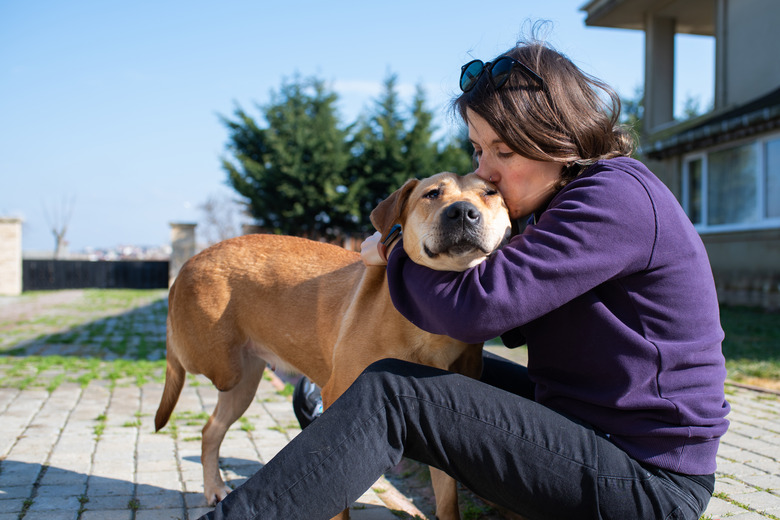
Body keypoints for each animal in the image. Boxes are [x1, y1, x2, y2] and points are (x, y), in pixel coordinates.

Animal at [156, 173, 516, 516]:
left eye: (490, 193)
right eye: (432, 193)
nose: (463, 212)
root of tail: (192, 260)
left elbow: (447, 501)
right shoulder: (341, 398)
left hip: (242, 384)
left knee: (210, 430)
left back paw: (214, 487)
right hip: (220, 365)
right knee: (179, 364)